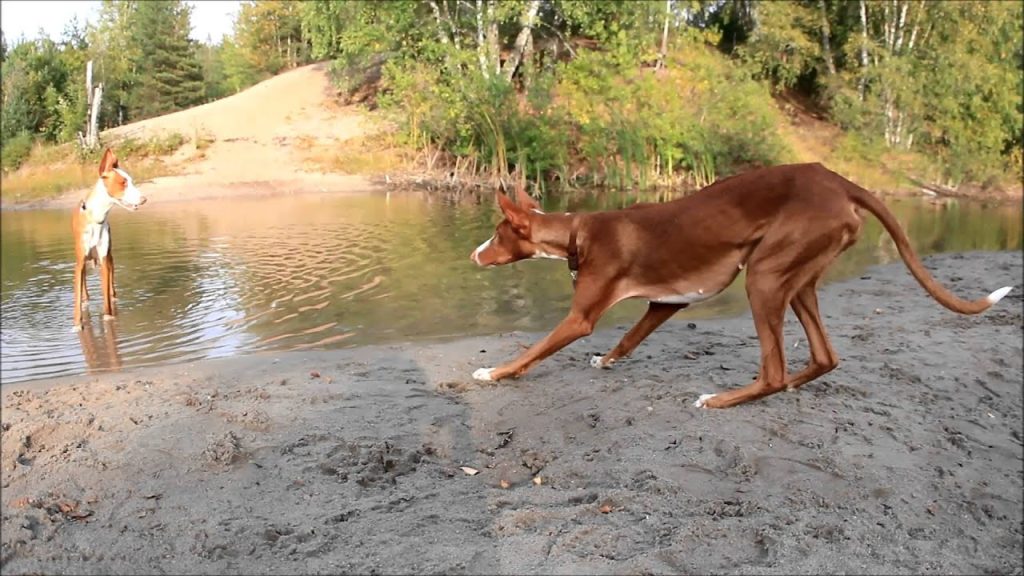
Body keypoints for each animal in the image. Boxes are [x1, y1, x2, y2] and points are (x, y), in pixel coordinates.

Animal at [72, 145, 147, 330]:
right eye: (123, 182)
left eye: (132, 181)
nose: (144, 199)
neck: (96, 218)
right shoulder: (80, 262)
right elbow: (77, 295)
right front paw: (77, 324)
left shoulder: (104, 259)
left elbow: (105, 293)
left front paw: (108, 317)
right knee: (84, 286)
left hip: (110, 258)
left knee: (111, 287)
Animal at [468, 161, 1007, 407]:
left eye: (496, 232)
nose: (472, 255)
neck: (580, 232)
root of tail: (838, 180)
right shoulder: (666, 303)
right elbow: (629, 336)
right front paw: (606, 360)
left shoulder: (581, 317)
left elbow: (534, 350)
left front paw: (493, 372)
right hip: (797, 280)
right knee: (823, 356)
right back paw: (792, 384)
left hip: (765, 278)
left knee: (773, 369)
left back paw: (722, 399)